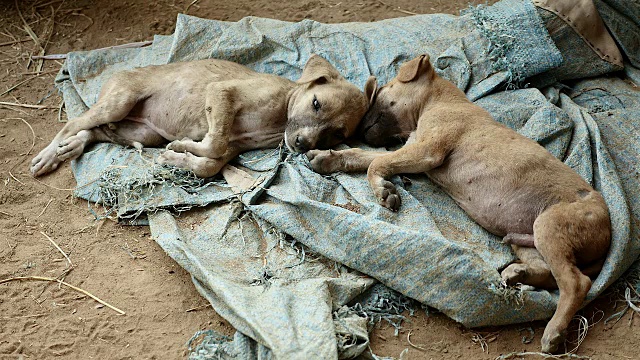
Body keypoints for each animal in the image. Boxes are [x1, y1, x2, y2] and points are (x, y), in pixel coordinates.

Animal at [31, 55, 370, 178]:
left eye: (337, 134)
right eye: (316, 104)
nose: (301, 145)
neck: (280, 118)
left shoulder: (234, 146)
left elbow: (209, 164)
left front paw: (178, 158)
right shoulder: (221, 93)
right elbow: (213, 144)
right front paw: (181, 149)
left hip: (142, 132)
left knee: (95, 131)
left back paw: (72, 148)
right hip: (119, 102)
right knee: (74, 123)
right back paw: (48, 155)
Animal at [308, 54, 612, 352]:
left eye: (380, 90)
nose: (354, 132)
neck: (439, 101)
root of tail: (607, 232)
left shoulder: (426, 151)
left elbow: (377, 163)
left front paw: (383, 190)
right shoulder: (412, 148)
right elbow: (365, 157)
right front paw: (328, 158)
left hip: (549, 226)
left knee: (576, 282)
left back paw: (554, 332)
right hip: (524, 236)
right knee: (550, 272)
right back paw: (519, 273)